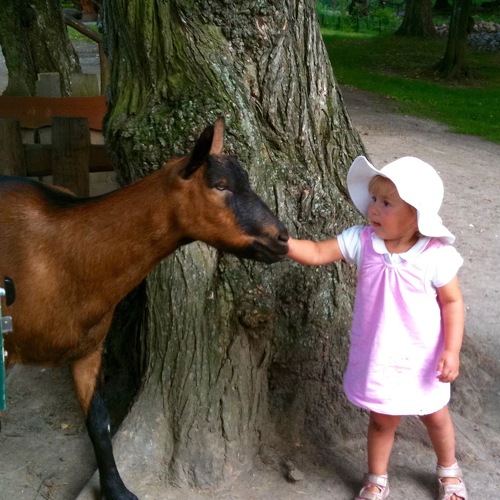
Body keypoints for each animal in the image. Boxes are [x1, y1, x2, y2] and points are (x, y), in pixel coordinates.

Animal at [0, 118, 290, 500]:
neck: (60, 256)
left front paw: (117, 490)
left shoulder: (89, 349)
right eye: (220, 186)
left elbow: (100, 423)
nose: (283, 238)